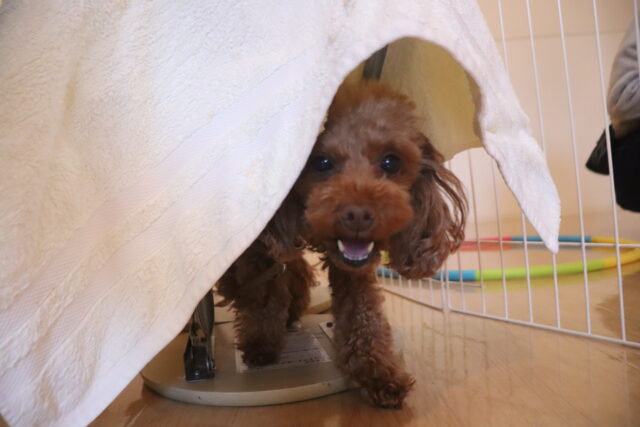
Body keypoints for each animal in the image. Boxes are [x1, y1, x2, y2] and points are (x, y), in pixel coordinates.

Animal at [217, 81, 467, 408]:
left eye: (391, 161)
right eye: (321, 162)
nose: (358, 214)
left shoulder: (353, 268)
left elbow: (361, 312)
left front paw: (377, 372)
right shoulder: (262, 245)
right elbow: (264, 296)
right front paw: (261, 343)